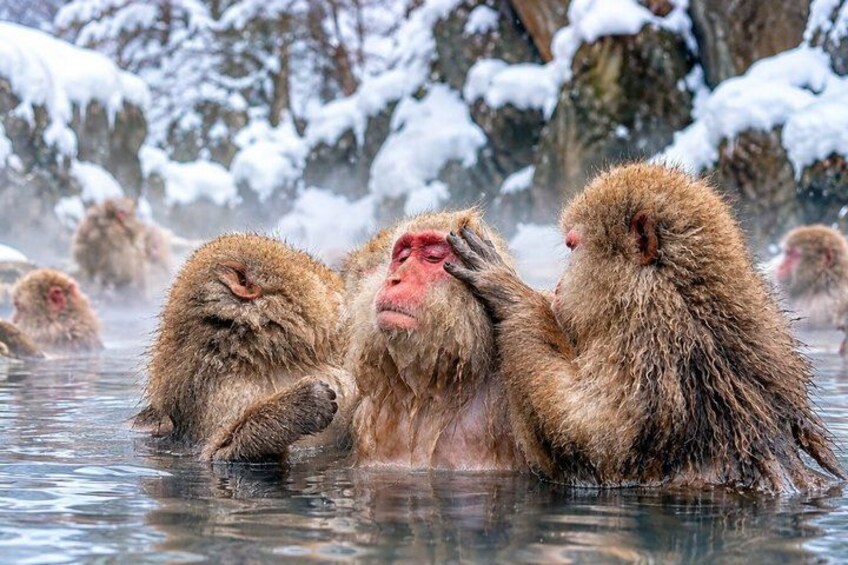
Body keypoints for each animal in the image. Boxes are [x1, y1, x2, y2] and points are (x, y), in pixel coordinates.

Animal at [445, 163, 844, 493]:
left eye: (573, 247)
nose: (557, 287)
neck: (680, 299)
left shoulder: (650, 355)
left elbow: (591, 448)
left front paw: (508, 292)